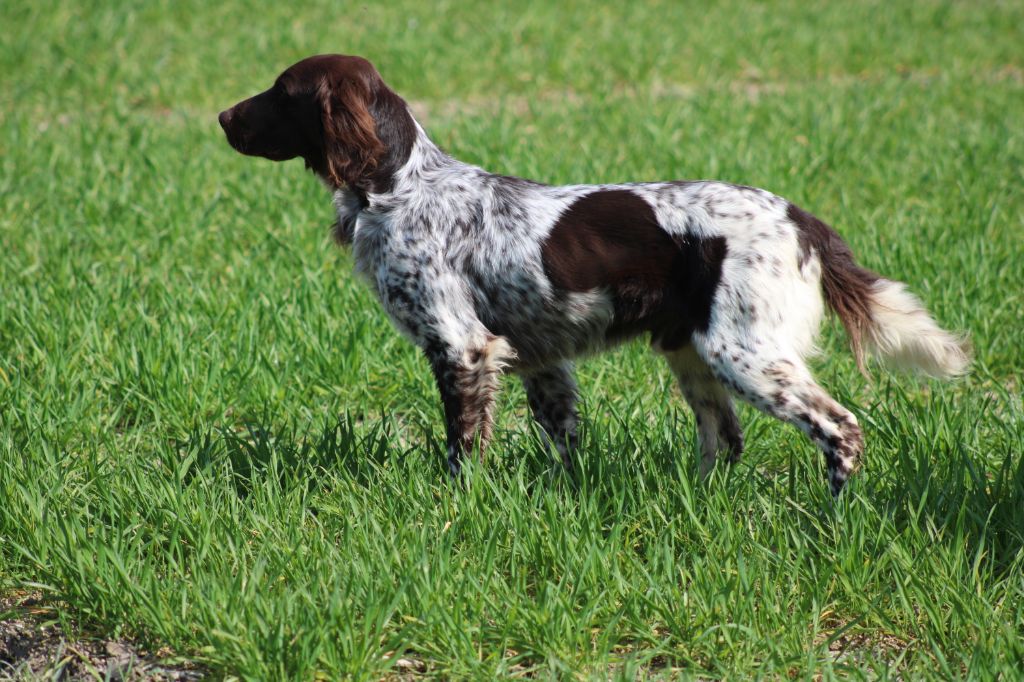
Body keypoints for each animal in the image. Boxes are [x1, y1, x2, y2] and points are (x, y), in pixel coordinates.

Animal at [218, 51, 966, 489]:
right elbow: (563, 440)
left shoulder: (462, 348)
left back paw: (832, 517)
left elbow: (463, 450)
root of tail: (800, 218)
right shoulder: (539, 359)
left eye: (281, 90)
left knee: (840, 428)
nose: (222, 115)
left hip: (746, 353)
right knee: (725, 441)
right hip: (694, 352)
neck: (401, 186)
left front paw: (457, 506)